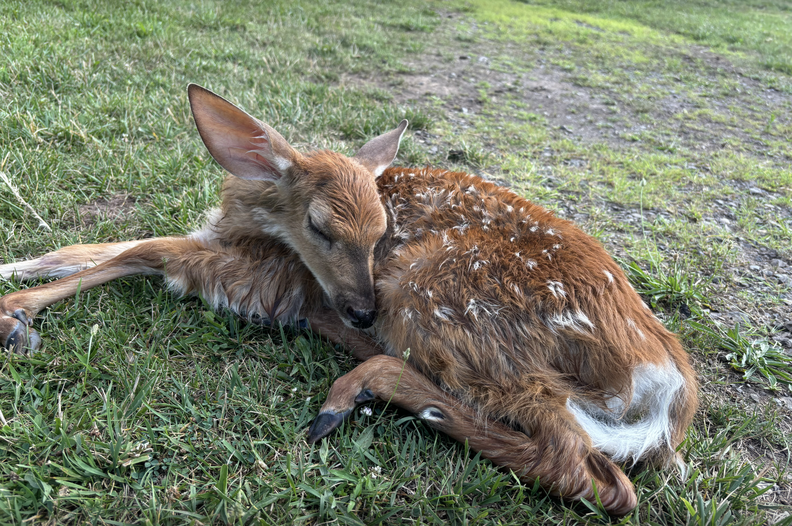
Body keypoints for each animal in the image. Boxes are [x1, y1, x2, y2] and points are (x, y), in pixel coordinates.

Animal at [0, 84, 697, 515]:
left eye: (384, 231)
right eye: (321, 227)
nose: (361, 310)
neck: (249, 225)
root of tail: (667, 385)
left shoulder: (257, 279)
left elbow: (143, 250)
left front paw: (15, 312)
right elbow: (99, 245)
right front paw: (15, 275)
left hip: (442, 302)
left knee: (592, 474)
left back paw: (356, 390)